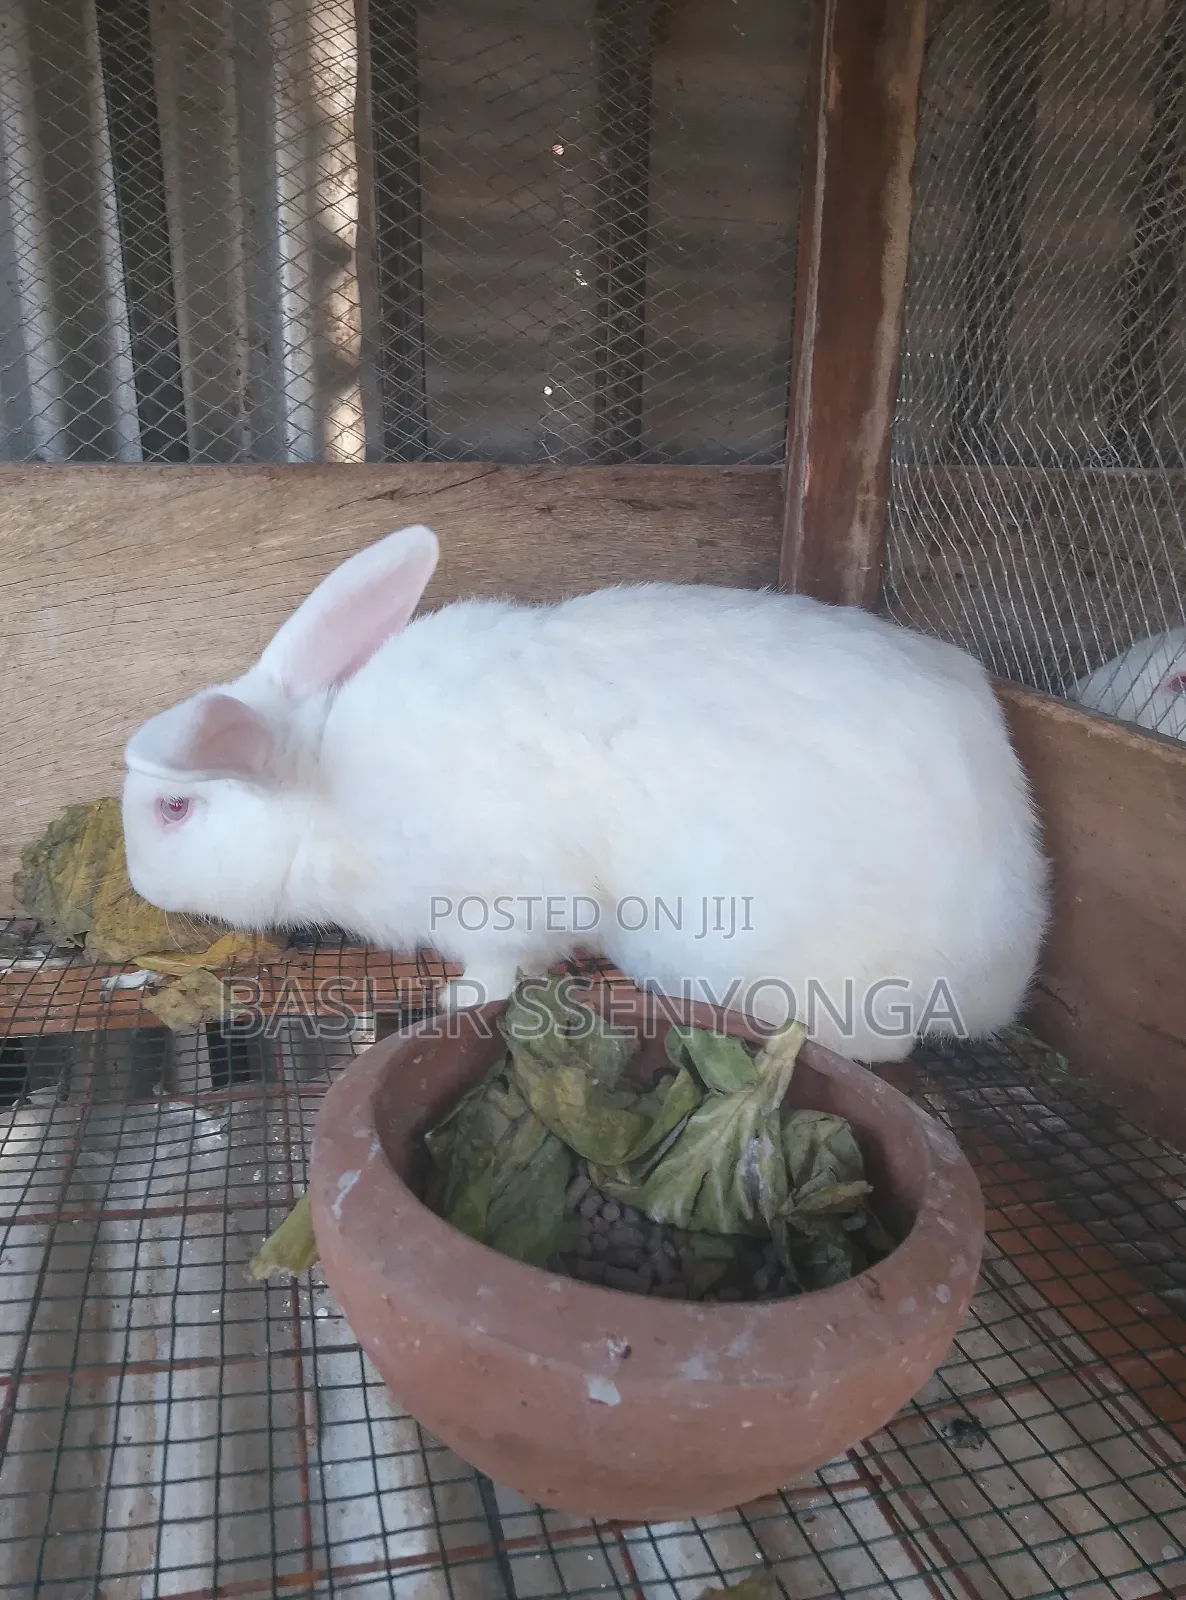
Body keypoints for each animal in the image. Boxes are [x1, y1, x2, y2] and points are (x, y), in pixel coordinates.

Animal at [121, 523, 1049, 1064]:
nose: (135, 881)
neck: (326, 786)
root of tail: (1004, 968)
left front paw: (456, 1000)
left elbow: (499, 969)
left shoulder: (500, 904)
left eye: (175, 808)